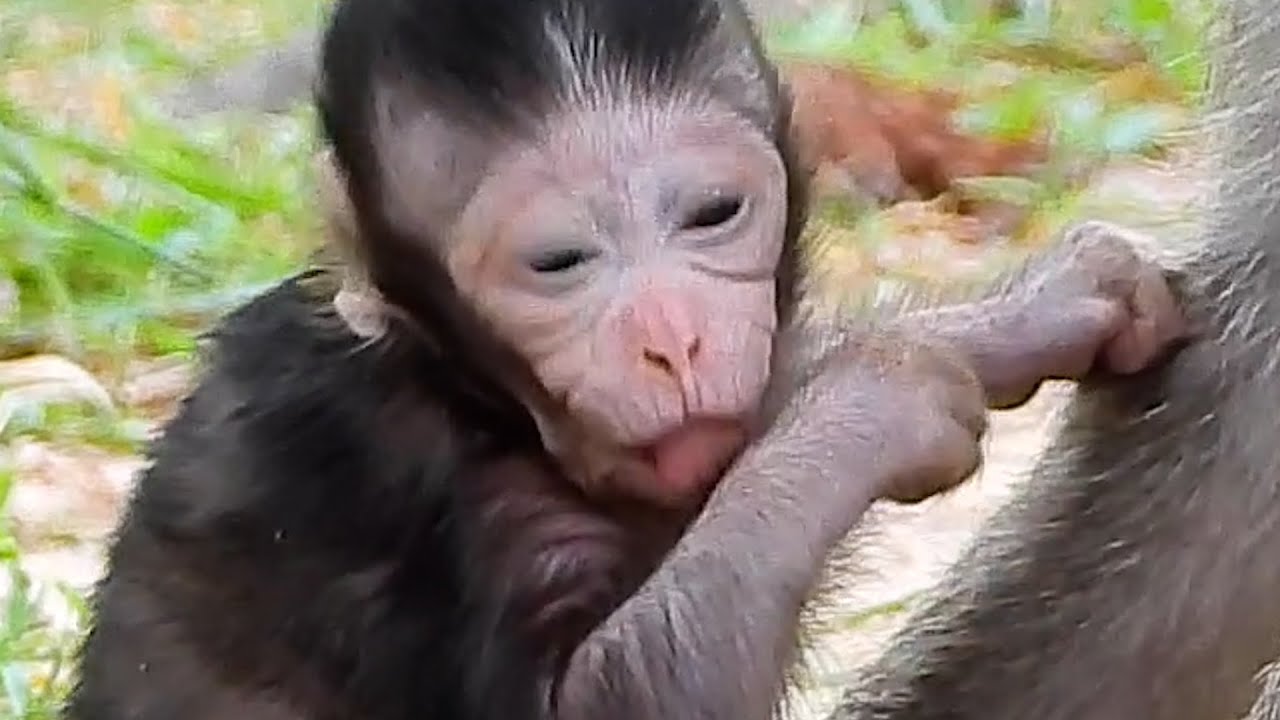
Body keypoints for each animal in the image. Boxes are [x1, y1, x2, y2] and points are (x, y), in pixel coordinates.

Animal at [65, 0, 1185, 719]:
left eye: (711, 212)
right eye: (558, 262)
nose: (670, 338)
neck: (479, 404)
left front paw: (1012, 315)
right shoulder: (411, 490)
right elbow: (625, 699)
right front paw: (878, 394)